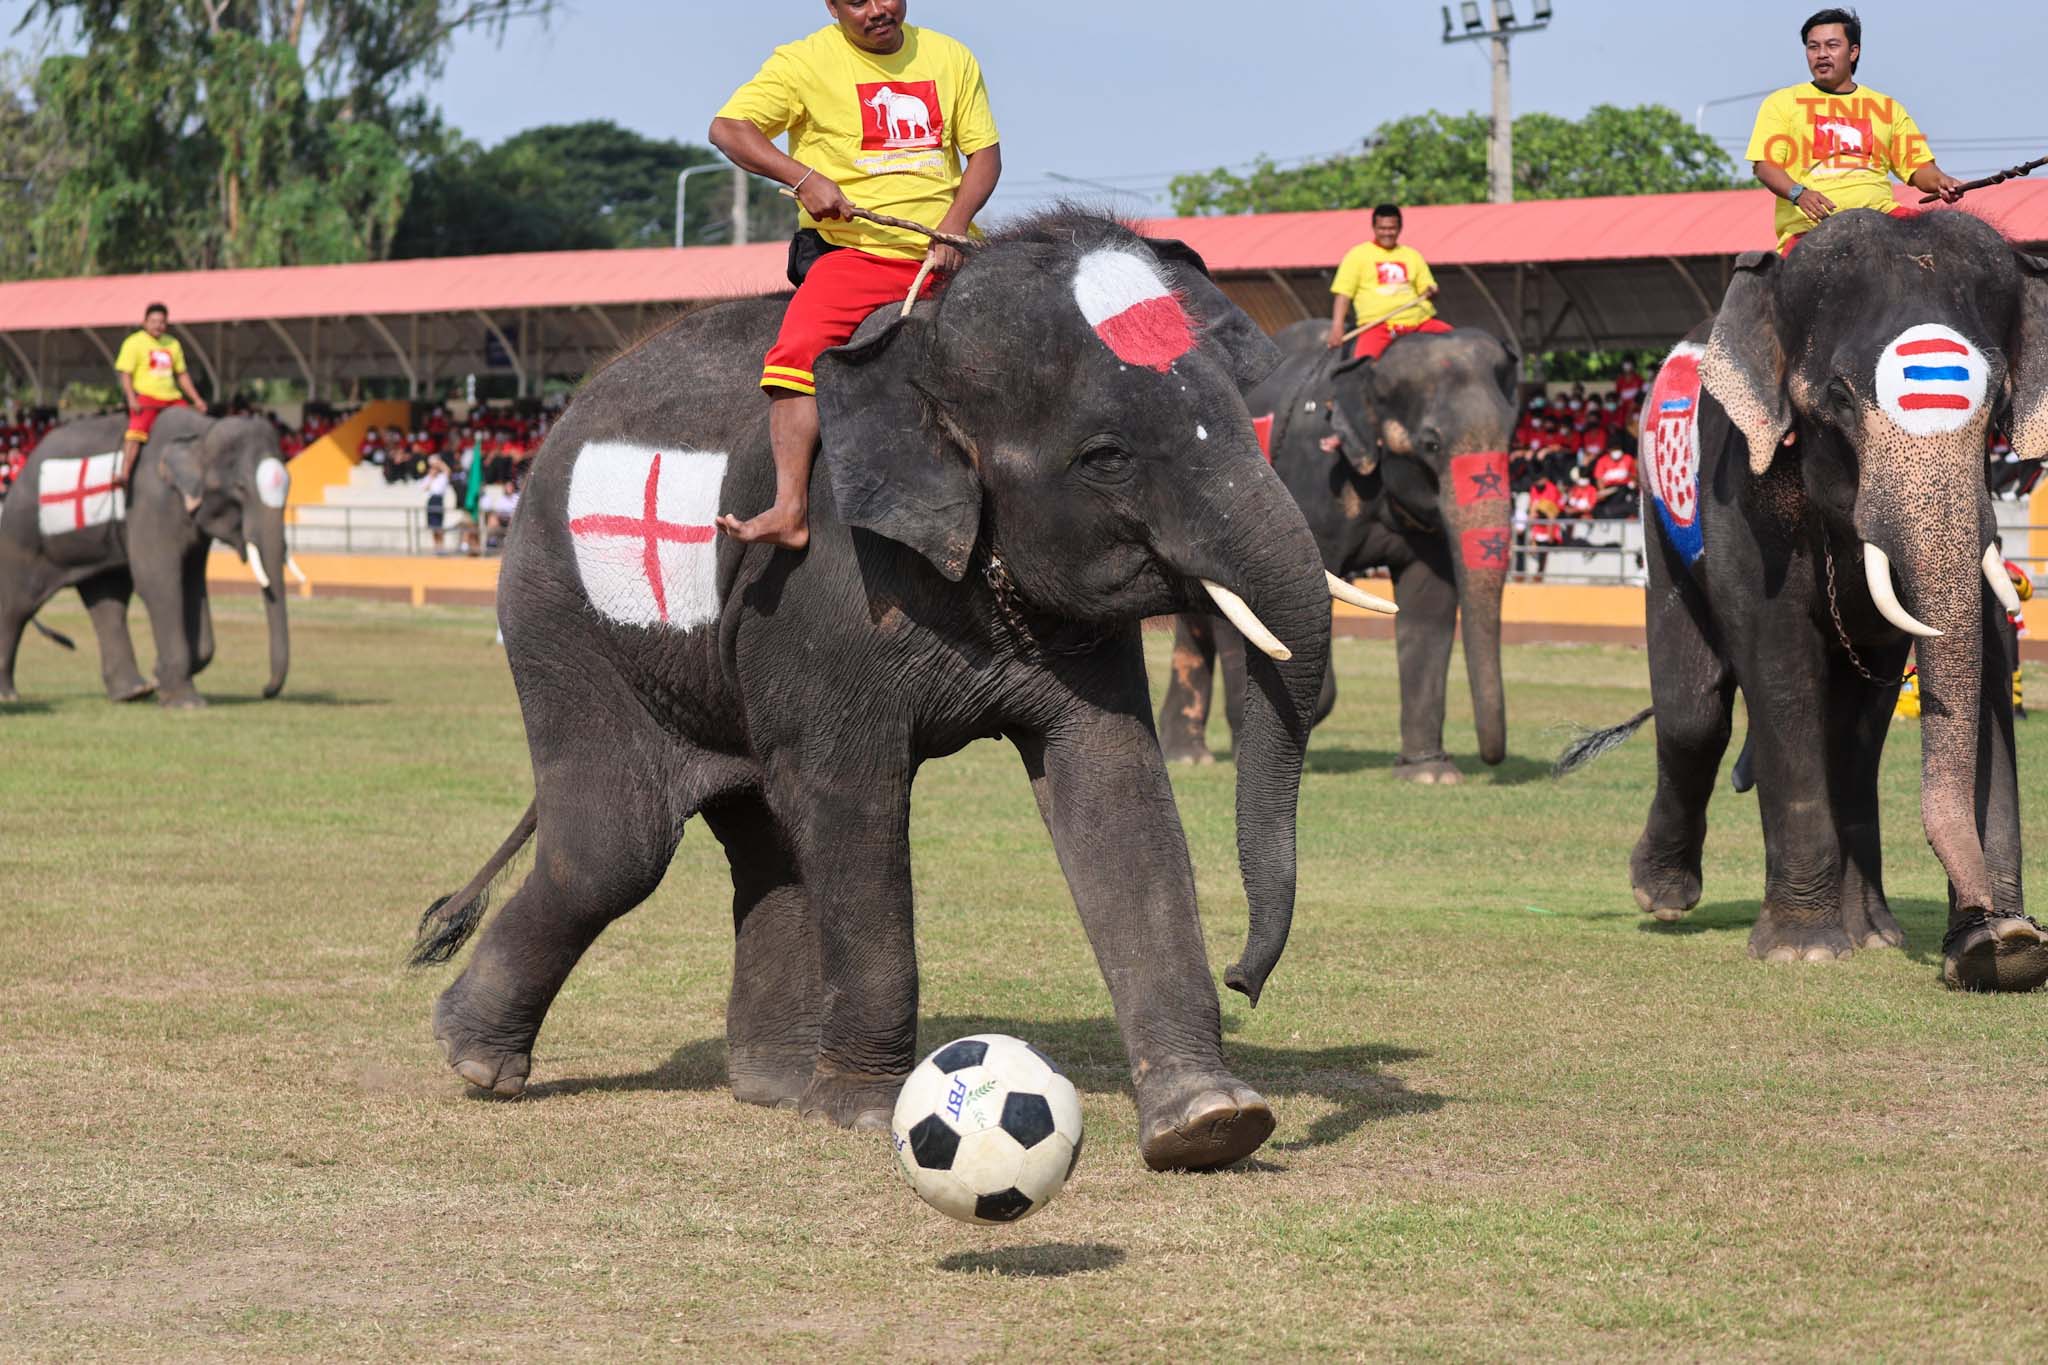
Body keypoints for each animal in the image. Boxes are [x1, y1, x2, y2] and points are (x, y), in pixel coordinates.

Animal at [0, 409, 296, 712]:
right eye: (240, 488)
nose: (265, 691)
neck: (204, 429)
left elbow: (192, 584)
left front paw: (160, 677)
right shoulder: (150, 500)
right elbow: (158, 582)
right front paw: (185, 703)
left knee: (108, 599)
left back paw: (133, 692)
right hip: (22, 533)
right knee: (16, 606)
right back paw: (8, 696)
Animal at [407, 215, 1351, 1178]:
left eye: (1248, 422)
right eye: (1106, 458)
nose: (1246, 978)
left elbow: (1116, 790)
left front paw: (1212, 1121)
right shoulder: (824, 589)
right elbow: (850, 797)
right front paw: (865, 1112)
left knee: (761, 836)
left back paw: (772, 1084)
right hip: (562, 621)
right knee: (616, 847)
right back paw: (476, 1059)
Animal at [1155, 325, 1523, 785]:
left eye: (1512, 437)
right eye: (1431, 443)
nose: (1493, 764)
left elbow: (1430, 600)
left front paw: (1430, 774)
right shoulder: (1312, 476)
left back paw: (1187, 754)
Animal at [1556, 208, 2039, 986]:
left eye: (1996, 405)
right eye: (1838, 400)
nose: (1994, 926)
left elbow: (1950, 671)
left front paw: (2000, 949)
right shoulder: (1741, 498)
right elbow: (1779, 667)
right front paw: (1802, 949)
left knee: (1854, 729)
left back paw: (1873, 932)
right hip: (1659, 514)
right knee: (1694, 712)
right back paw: (1662, 895)